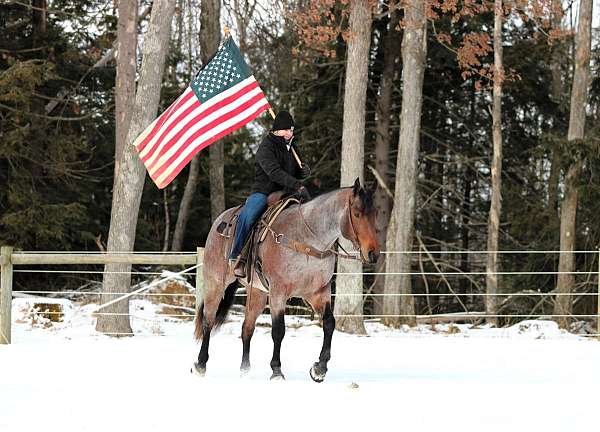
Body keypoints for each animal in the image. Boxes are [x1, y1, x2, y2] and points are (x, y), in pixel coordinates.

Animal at [192, 178, 380, 382]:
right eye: (357, 213)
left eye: (375, 213)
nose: (373, 253)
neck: (307, 239)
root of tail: (219, 222)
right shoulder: (278, 293)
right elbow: (278, 330)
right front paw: (276, 370)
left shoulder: (318, 292)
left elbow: (329, 324)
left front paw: (319, 368)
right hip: (216, 283)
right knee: (208, 320)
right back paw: (200, 364)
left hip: (256, 293)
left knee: (247, 328)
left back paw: (245, 369)